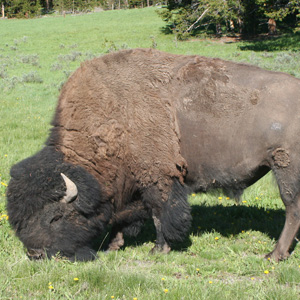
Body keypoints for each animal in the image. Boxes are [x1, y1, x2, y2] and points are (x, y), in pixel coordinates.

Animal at [5, 48, 300, 262]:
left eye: (55, 217)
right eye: (19, 219)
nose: (34, 253)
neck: (113, 118)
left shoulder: (158, 178)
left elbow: (161, 214)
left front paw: (159, 249)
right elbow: (124, 216)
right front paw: (114, 246)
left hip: (284, 168)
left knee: (292, 208)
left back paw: (274, 255)